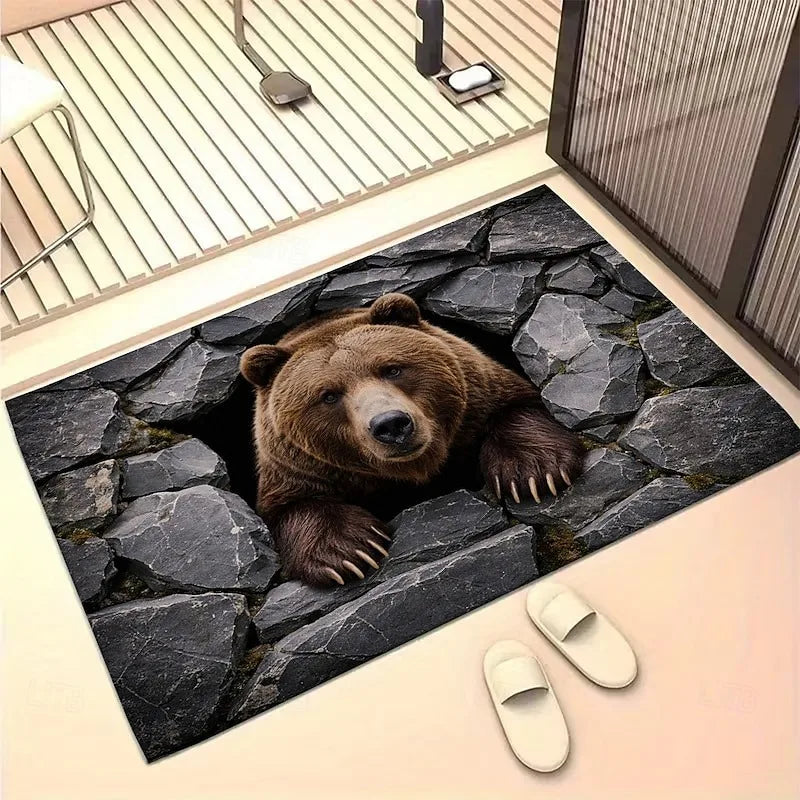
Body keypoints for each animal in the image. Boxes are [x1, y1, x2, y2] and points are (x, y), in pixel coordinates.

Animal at [240, 293, 584, 587]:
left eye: (392, 368)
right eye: (329, 395)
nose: (391, 424)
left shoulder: (479, 399)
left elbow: (518, 409)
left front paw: (534, 473)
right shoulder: (300, 468)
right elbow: (292, 507)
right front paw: (352, 552)